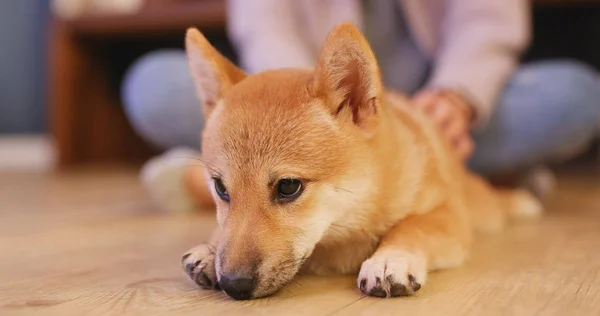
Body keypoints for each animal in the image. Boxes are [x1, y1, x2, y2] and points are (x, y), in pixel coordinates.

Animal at [175, 22, 544, 302]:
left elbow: (414, 226)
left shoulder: (448, 215)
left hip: (480, 209)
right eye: (221, 188)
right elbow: (222, 229)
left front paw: (391, 258)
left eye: (288, 187)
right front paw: (210, 248)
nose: (233, 285)